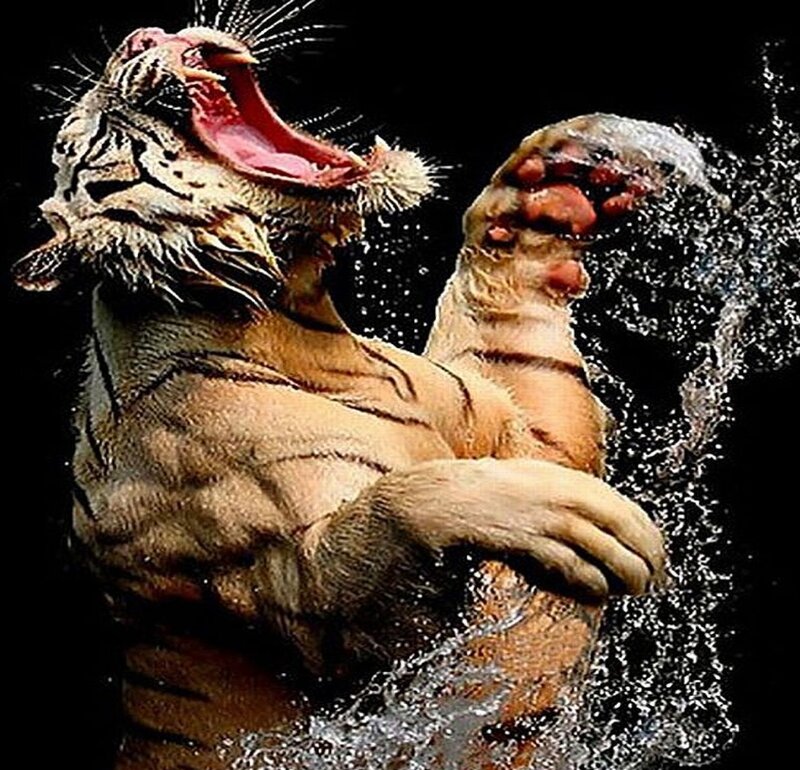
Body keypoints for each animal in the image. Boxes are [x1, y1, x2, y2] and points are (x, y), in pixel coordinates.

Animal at [14, 2, 668, 768]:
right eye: (93, 132)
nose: (142, 36)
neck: (299, 327)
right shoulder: (303, 594)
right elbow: (395, 507)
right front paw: (573, 522)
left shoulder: (533, 431)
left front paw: (540, 201)